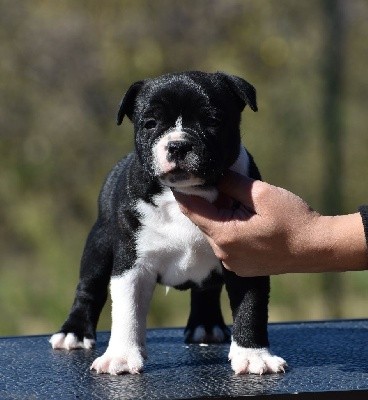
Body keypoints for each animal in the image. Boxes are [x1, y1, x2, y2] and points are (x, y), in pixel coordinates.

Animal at [49, 71, 288, 376]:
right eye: (150, 124)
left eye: (213, 121)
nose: (178, 144)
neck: (188, 193)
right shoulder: (132, 264)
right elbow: (127, 310)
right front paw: (121, 356)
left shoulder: (247, 255)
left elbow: (251, 308)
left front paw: (254, 355)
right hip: (98, 246)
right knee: (88, 288)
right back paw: (74, 332)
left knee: (206, 289)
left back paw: (206, 325)